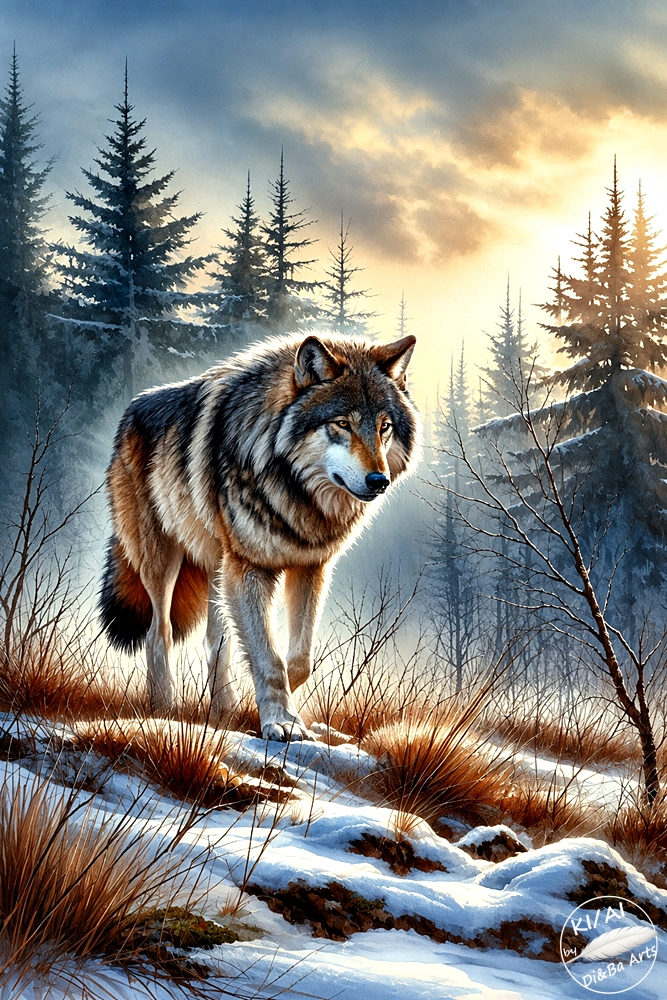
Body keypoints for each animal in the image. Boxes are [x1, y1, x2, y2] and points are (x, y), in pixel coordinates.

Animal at [99, 332, 419, 741]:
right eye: (342, 424)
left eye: (384, 427)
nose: (379, 481)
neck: (294, 493)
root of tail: (131, 410)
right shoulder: (250, 568)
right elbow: (269, 657)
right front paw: (282, 721)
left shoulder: (310, 567)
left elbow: (297, 660)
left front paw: (264, 711)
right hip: (163, 562)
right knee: (159, 633)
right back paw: (163, 708)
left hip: (219, 572)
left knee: (214, 639)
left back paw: (223, 709)